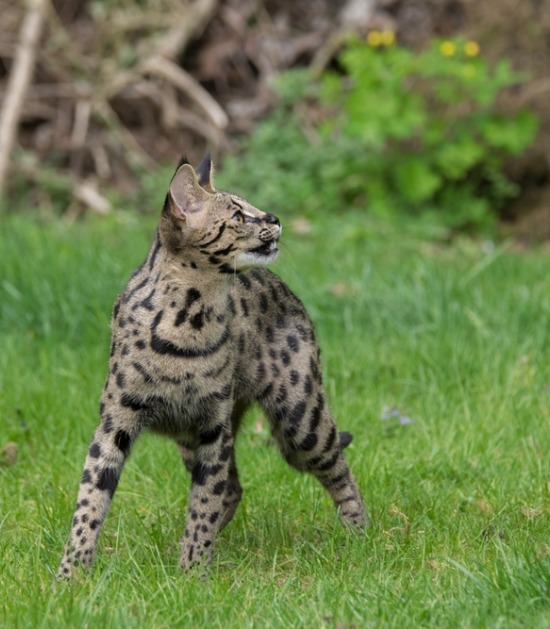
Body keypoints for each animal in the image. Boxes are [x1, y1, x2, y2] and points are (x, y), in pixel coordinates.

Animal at [58, 155, 368, 576]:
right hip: (195, 437)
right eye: (238, 215)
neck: (189, 315)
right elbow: (90, 498)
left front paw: (192, 573)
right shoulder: (116, 421)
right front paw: (71, 575)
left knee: (336, 464)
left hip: (300, 418)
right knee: (235, 488)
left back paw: (361, 533)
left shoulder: (212, 425)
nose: (275, 217)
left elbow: (205, 499)